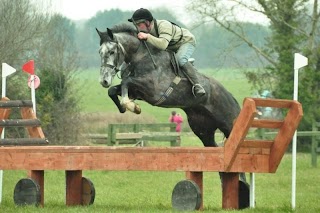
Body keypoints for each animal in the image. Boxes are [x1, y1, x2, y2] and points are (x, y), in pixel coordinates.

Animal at [96, 23, 246, 182]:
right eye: (100, 52)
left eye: (112, 51)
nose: (104, 80)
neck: (140, 57)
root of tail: (231, 97)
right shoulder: (137, 92)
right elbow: (113, 90)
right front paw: (126, 107)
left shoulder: (153, 89)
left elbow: (127, 81)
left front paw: (131, 106)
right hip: (203, 130)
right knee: (214, 148)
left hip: (229, 125)